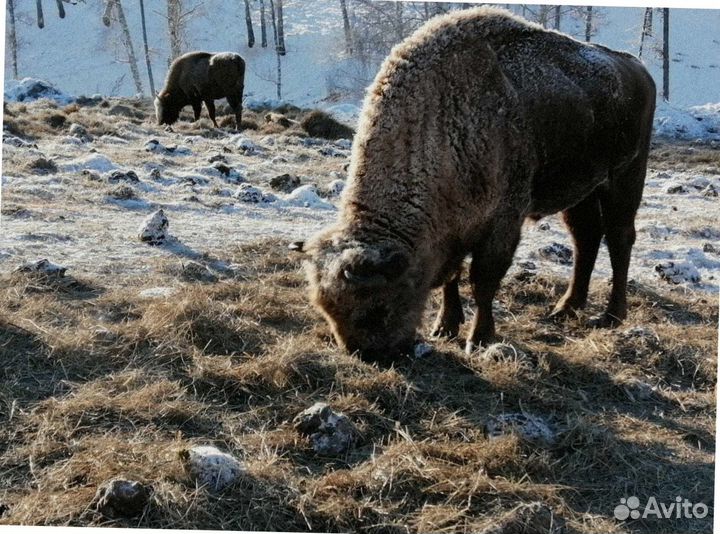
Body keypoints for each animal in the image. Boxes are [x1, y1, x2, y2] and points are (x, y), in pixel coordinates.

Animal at [298, 6, 660, 362]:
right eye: (327, 309)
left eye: (376, 307)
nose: (369, 354)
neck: (439, 127)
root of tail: (638, 69)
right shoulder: (454, 230)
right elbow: (453, 278)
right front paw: (444, 327)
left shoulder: (502, 223)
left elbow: (483, 281)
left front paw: (479, 338)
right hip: (581, 192)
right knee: (586, 239)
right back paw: (565, 308)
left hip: (624, 178)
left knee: (619, 238)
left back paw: (611, 316)